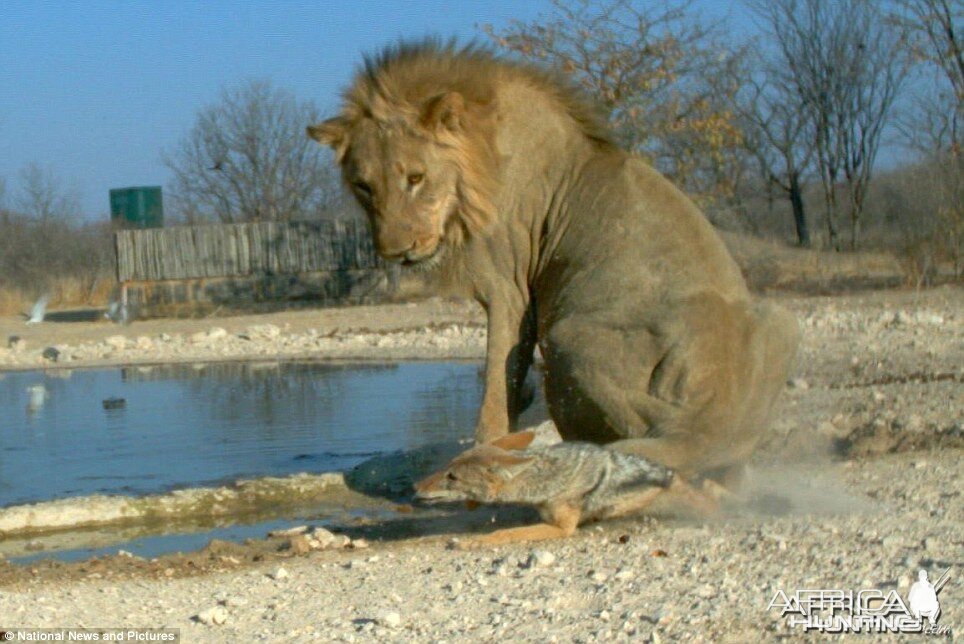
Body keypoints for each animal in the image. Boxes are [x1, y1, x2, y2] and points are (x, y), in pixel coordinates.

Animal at [310, 40, 800, 486]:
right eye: (364, 186)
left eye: (416, 178)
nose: (396, 250)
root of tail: (701, 428)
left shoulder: (508, 287)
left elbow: (495, 382)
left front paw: (484, 445)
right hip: (779, 319)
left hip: (567, 334)